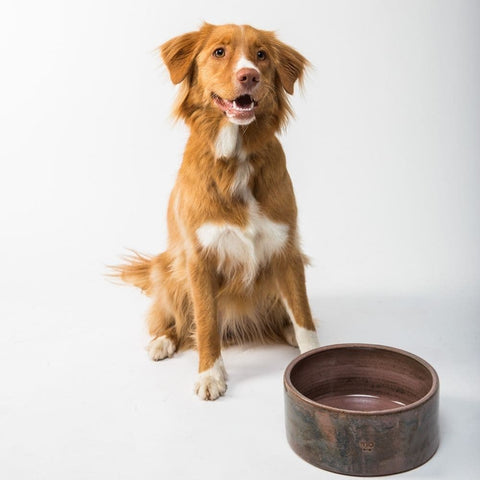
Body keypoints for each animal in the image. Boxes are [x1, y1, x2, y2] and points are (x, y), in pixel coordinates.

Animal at [114, 22, 320, 400]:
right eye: (219, 52)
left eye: (261, 55)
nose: (249, 76)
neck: (236, 157)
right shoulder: (200, 259)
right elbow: (206, 323)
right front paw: (210, 375)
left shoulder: (286, 250)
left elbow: (303, 316)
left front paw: (313, 354)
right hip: (169, 269)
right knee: (174, 319)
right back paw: (162, 341)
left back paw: (283, 330)